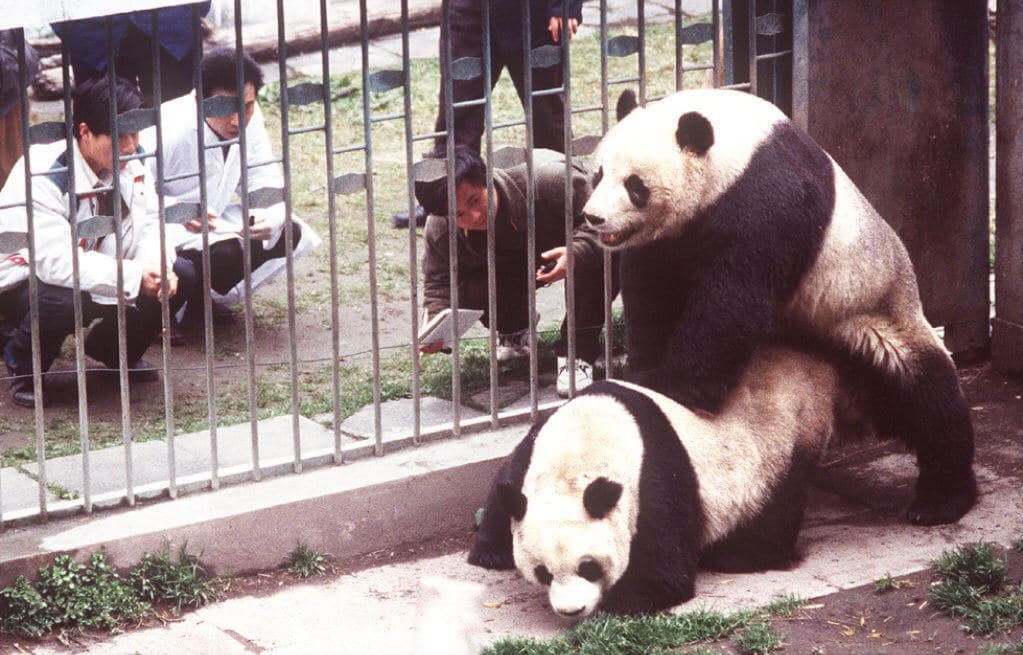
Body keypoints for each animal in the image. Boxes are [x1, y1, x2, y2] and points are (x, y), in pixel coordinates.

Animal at [469, 345, 854, 618]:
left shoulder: (655, 477)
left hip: (785, 444)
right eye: (543, 573)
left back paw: (739, 556)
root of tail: (814, 366)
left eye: (588, 567)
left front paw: (617, 603)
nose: (571, 610)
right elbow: (504, 487)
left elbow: (664, 570)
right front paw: (489, 551)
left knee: (775, 508)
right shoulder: (534, 447)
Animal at [580, 87, 975, 526]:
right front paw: (645, 370)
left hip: (873, 316)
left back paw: (940, 500)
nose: (594, 218)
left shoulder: (769, 201)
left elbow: (732, 299)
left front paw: (676, 385)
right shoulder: (671, 239)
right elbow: (651, 290)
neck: (737, 149)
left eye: (635, 186)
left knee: (926, 394)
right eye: (598, 174)